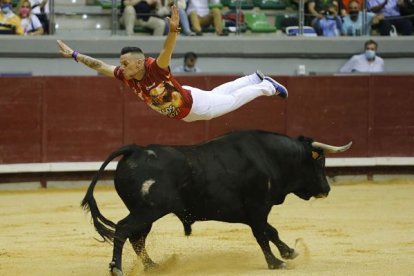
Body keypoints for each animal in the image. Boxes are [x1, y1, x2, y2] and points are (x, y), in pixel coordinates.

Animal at [81, 130, 352, 276]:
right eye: (320, 161)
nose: (326, 189)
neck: (269, 157)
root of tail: (135, 150)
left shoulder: (252, 212)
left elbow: (270, 231)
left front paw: (289, 252)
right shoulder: (257, 206)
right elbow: (262, 235)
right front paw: (276, 262)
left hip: (144, 213)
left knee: (137, 238)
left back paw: (153, 266)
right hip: (148, 211)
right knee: (123, 230)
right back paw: (117, 268)